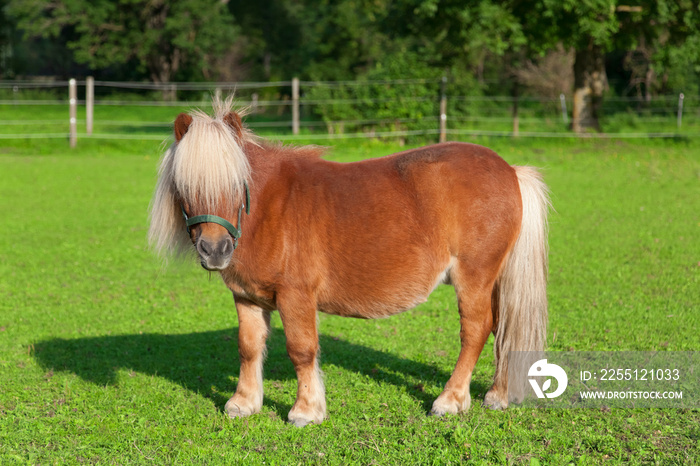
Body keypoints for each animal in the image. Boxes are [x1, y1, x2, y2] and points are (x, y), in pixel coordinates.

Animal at [149, 97, 552, 426]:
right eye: (184, 186)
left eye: (236, 184)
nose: (215, 250)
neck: (268, 208)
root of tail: (510, 170)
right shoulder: (246, 296)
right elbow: (248, 347)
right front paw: (244, 403)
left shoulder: (296, 296)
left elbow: (301, 349)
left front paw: (306, 410)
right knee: (502, 327)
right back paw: (497, 395)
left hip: (475, 277)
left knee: (476, 329)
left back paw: (450, 400)